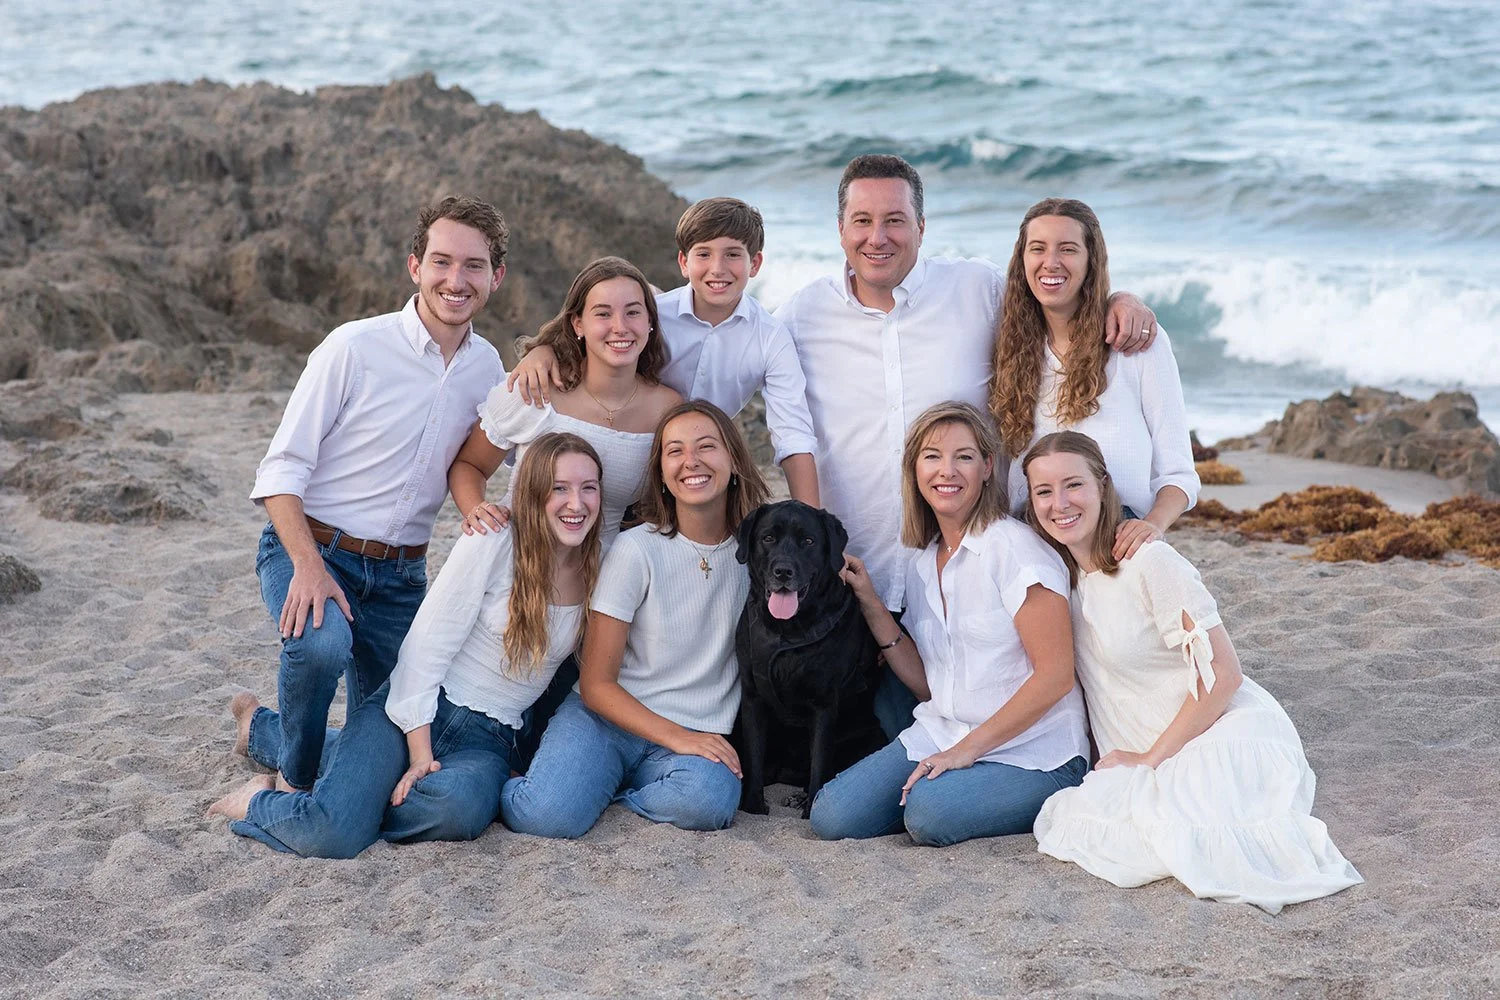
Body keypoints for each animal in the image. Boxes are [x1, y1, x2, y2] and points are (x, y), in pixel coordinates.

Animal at [734, 500, 884, 817]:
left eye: (808, 541)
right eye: (768, 538)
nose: (783, 571)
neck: (787, 631)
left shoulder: (824, 703)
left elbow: (820, 761)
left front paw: (810, 809)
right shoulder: (751, 696)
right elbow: (753, 753)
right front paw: (752, 805)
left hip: (872, 736)